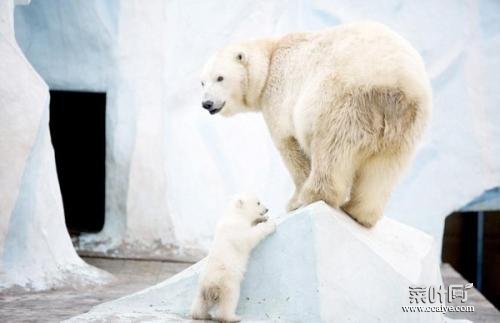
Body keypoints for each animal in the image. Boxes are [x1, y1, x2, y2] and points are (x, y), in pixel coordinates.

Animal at [191, 194, 278, 322]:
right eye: (258, 203)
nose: (267, 209)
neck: (235, 214)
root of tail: (210, 285)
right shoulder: (237, 229)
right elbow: (249, 238)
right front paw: (270, 224)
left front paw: (263, 218)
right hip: (227, 282)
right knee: (229, 300)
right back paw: (233, 317)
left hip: (201, 288)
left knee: (200, 302)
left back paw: (201, 315)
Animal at [201, 22, 432, 228]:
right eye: (202, 82)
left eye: (220, 77)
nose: (207, 104)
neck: (270, 58)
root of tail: (398, 83)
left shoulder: (279, 93)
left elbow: (289, 146)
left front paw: (293, 201)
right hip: (405, 126)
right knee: (384, 169)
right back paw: (359, 212)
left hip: (343, 100)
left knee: (331, 149)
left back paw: (314, 194)